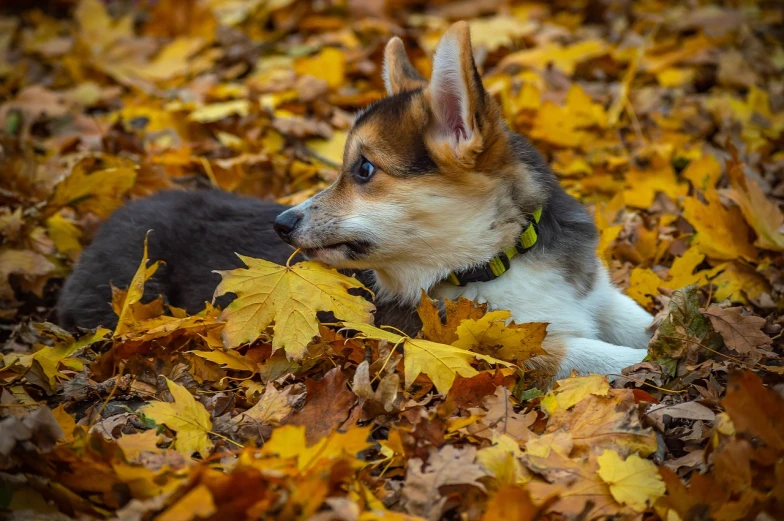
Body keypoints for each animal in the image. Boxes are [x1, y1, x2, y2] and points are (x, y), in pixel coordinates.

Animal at [58, 22, 652, 376]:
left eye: (363, 169)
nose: (281, 223)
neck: (496, 257)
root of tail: (116, 215)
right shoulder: (498, 340)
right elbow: (597, 354)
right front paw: (651, 365)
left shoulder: (598, 296)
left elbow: (641, 320)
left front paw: (667, 334)